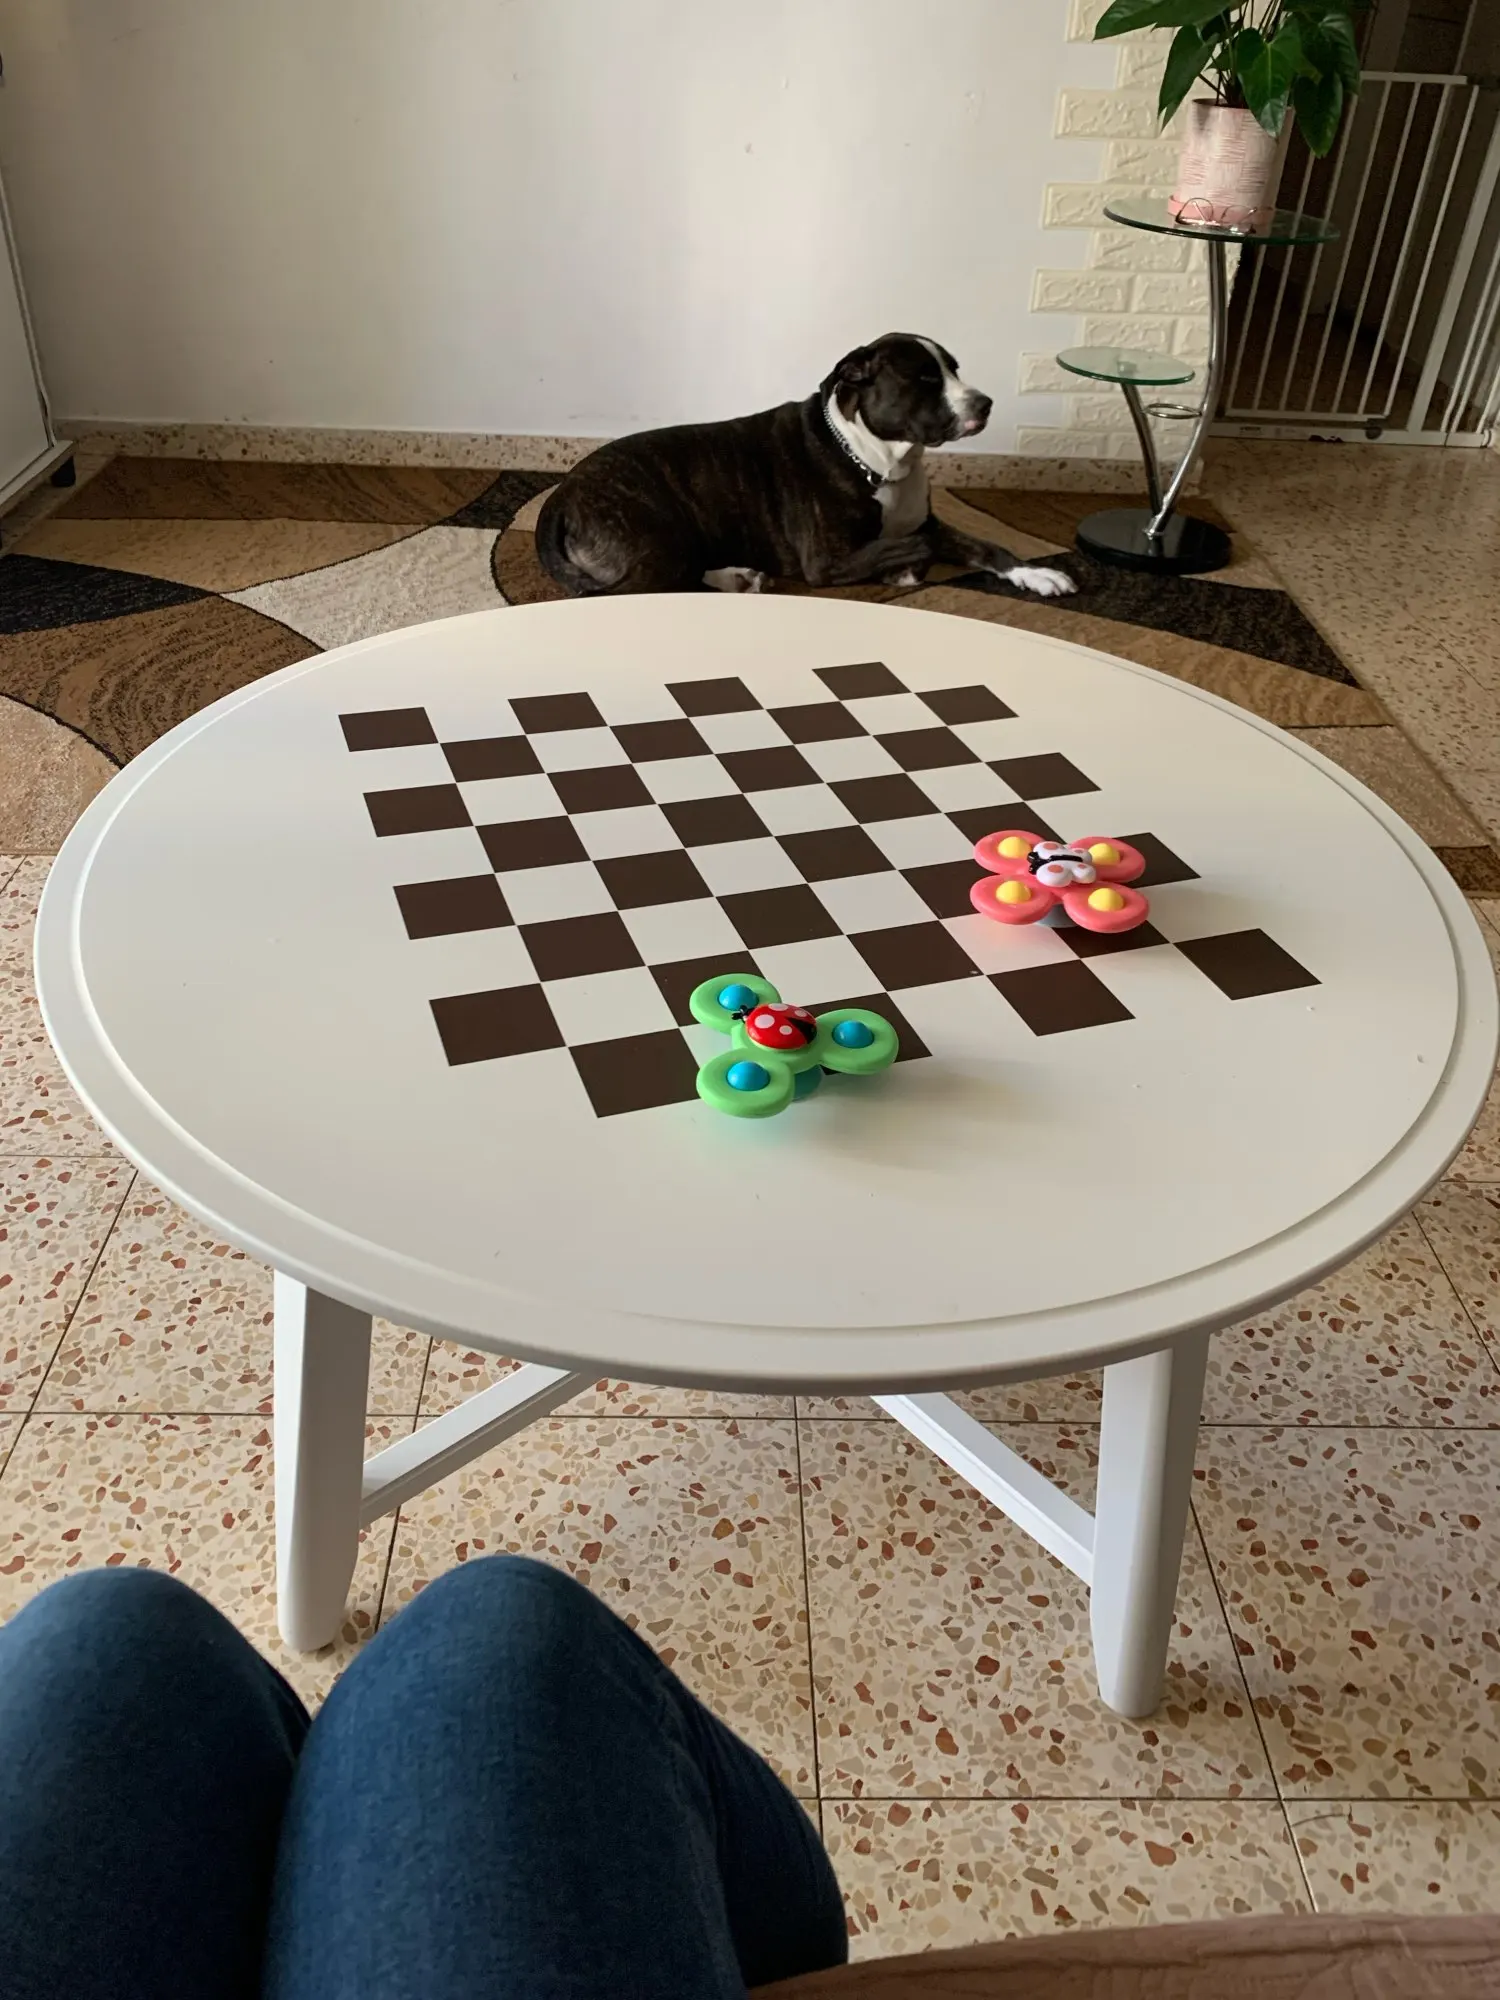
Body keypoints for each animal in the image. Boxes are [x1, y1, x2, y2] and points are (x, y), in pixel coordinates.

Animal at [535, 332, 1076, 601]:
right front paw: (904, 570)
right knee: (634, 593)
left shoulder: (930, 520)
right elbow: (916, 544)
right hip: (662, 537)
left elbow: (986, 545)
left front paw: (1036, 574)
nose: (985, 404)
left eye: (954, 369)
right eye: (924, 378)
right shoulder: (826, 561)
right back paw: (735, 579)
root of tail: (560, 497)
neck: (879, 462)